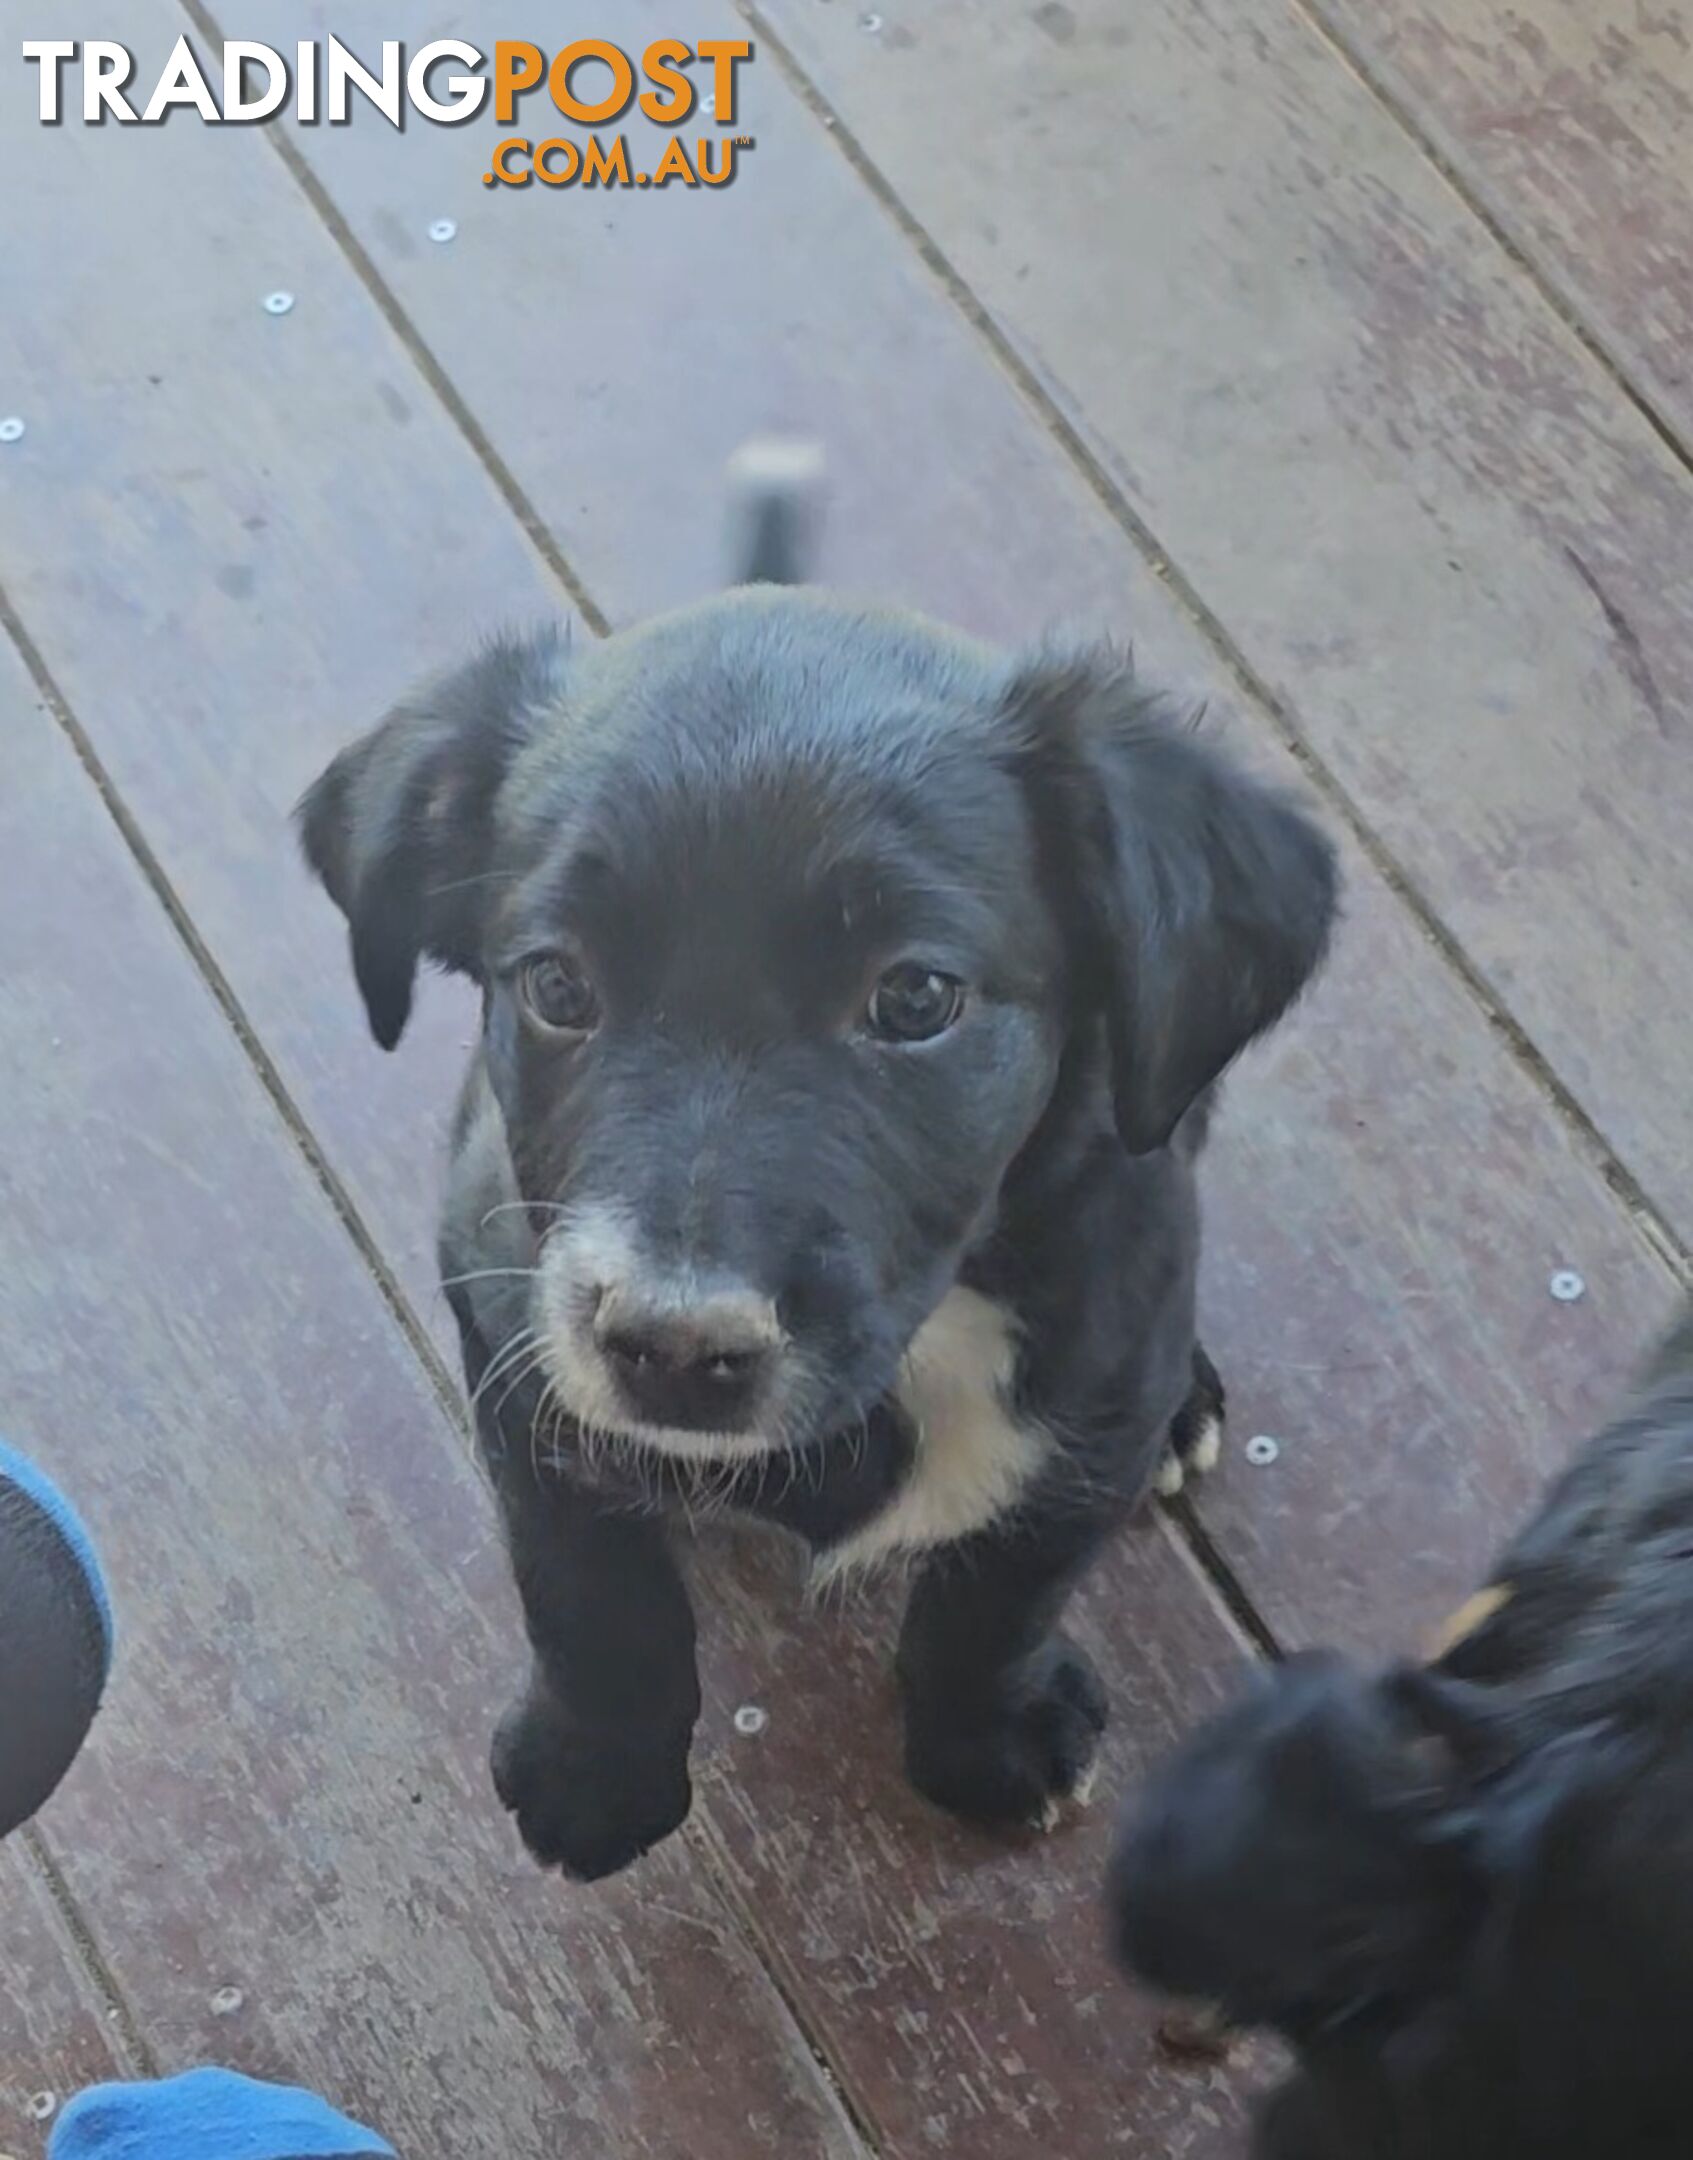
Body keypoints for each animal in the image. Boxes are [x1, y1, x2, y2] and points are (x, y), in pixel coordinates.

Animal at [300, 464, 1338, 1883]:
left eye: (915, 999)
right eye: (557, 986)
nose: (674, 1350)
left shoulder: (1099, 1375)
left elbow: (1000, 1594)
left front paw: (986, 1738)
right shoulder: (510, 1326)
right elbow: (583, 1582)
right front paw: (595, 1766)